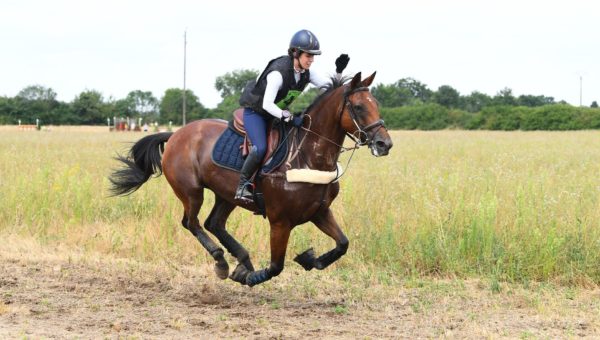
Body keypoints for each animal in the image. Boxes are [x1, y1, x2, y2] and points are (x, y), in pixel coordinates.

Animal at [109, 72, 394, 286]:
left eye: (377, 104)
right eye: (358, 107)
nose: (385, 144)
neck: (307, 155)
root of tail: (176, 134)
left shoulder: (320, 212)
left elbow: (342, 244)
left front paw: (309, 259)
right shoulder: (280, 222)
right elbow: (276, 266)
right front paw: (250, 277)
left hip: (226, 194)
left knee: (214, 223)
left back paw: (242, 259)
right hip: (191, 191)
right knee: (192, 222)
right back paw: (222, 261)